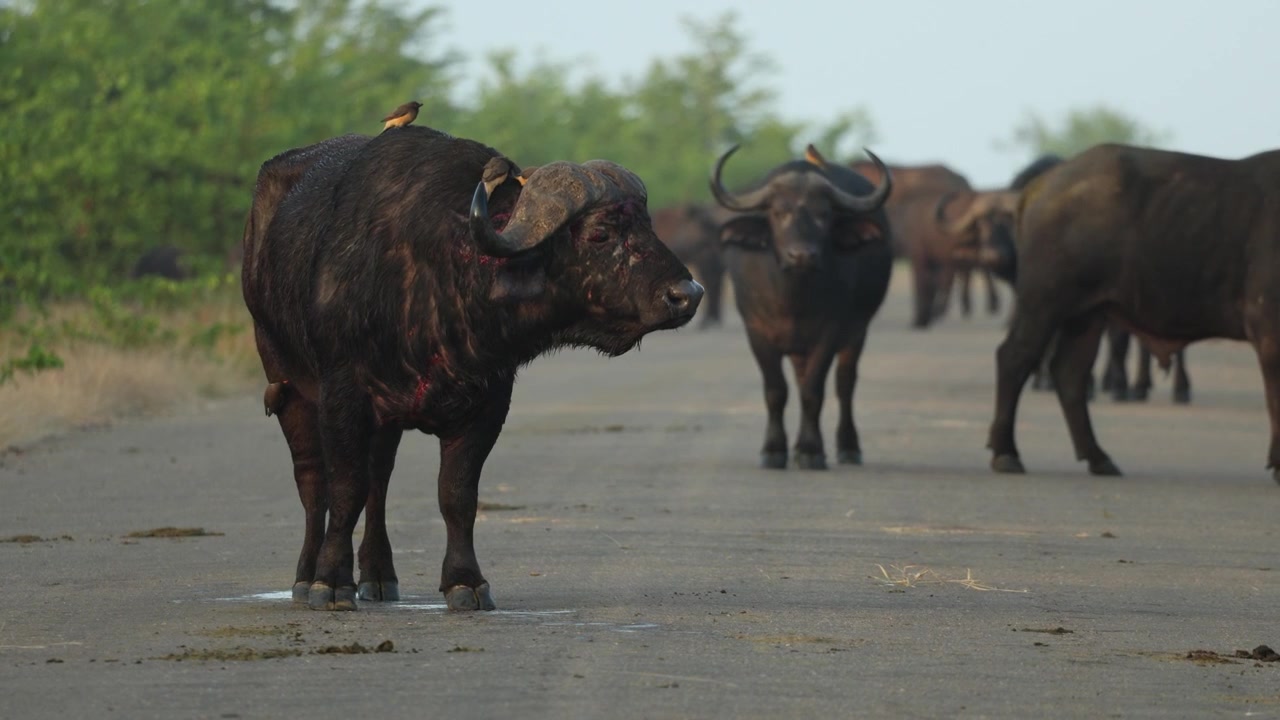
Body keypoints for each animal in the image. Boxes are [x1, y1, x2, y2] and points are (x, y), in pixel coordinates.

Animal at [241, 126, 704, 611]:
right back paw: (305, 576)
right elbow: (345, 489)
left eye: (648, 225)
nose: (687, 294)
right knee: (313, 483)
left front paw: (465, 581)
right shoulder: (343, 397)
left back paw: (379, 575)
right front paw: (330, 582)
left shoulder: (487, 405)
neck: (440, 277)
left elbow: (456, 495)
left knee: (379, 481)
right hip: (287, 384)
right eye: (600, 234)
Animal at [711, 144, 892, 469]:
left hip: (858, 332)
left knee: (845, 384)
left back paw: (848, 447)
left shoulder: (829, 333)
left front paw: (810, 451)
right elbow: (776, 391)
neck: (793, 298)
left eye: (824, 214)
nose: (802, 256)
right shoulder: (756, 333)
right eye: (778, 212)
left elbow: (813, 392)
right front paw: (774, 450)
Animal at [986, 142, 1280, 482]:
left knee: (1070, 373)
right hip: (1044, 303)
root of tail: (1041, 185)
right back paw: (1006, 452)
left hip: (1086, 314)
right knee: (1015, 357)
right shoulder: (1269, 330)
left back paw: (1098, 457)